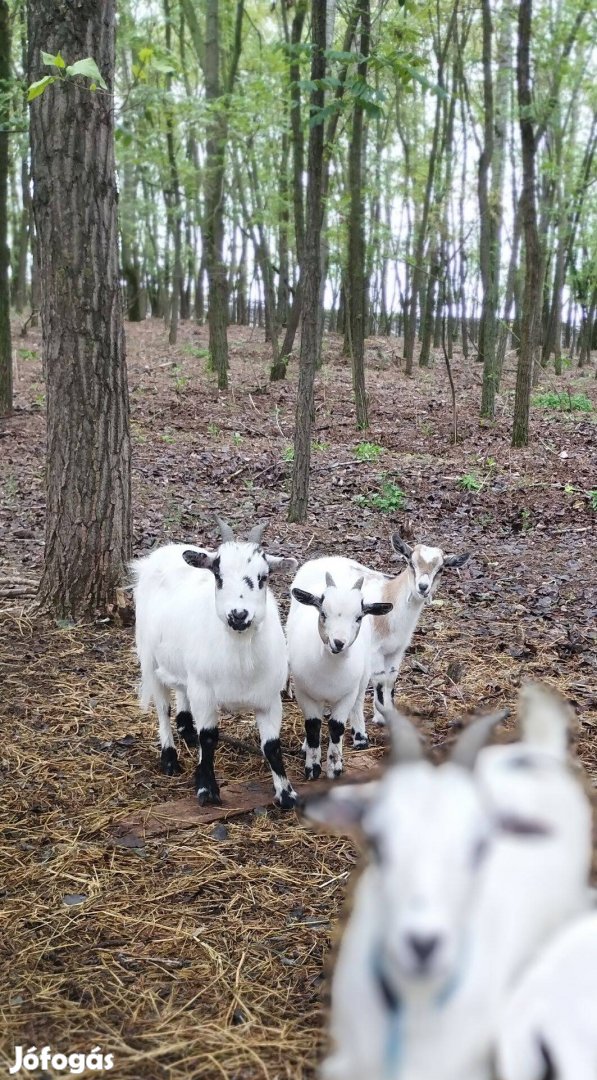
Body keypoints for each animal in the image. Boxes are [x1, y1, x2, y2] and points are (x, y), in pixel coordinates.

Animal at [130, 518, 297, 807]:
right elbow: (208, 738)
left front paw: (286, 793)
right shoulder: (204, 692)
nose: (239, 615)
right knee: (162, 708)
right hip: (149, 658)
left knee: (181, 690)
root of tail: (165, 550)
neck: (240, 656)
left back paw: (187, 729)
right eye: (218, 575)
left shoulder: (269, 698)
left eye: (263, 577)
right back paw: (169, 757)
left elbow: (272, 746)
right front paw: (207, 789)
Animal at [287, 561, 392, 781]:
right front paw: (312, 767)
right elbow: (313, 726)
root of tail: (334, 559)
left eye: (359, 617)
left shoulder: (347, 694)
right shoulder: (304, 692)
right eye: (323, 614)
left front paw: (334, 768)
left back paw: (360, 737)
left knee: (359, 701)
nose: (338, 643)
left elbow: (337, 727)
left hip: (364, 672)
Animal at [315, 531, 468, 743]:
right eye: (411, 562)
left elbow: (392, 680)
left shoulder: (397, 650)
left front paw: (391, 713)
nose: (423, 587)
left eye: (441, 569)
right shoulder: (375, 650)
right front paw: (381, 718)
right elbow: (380, 681)